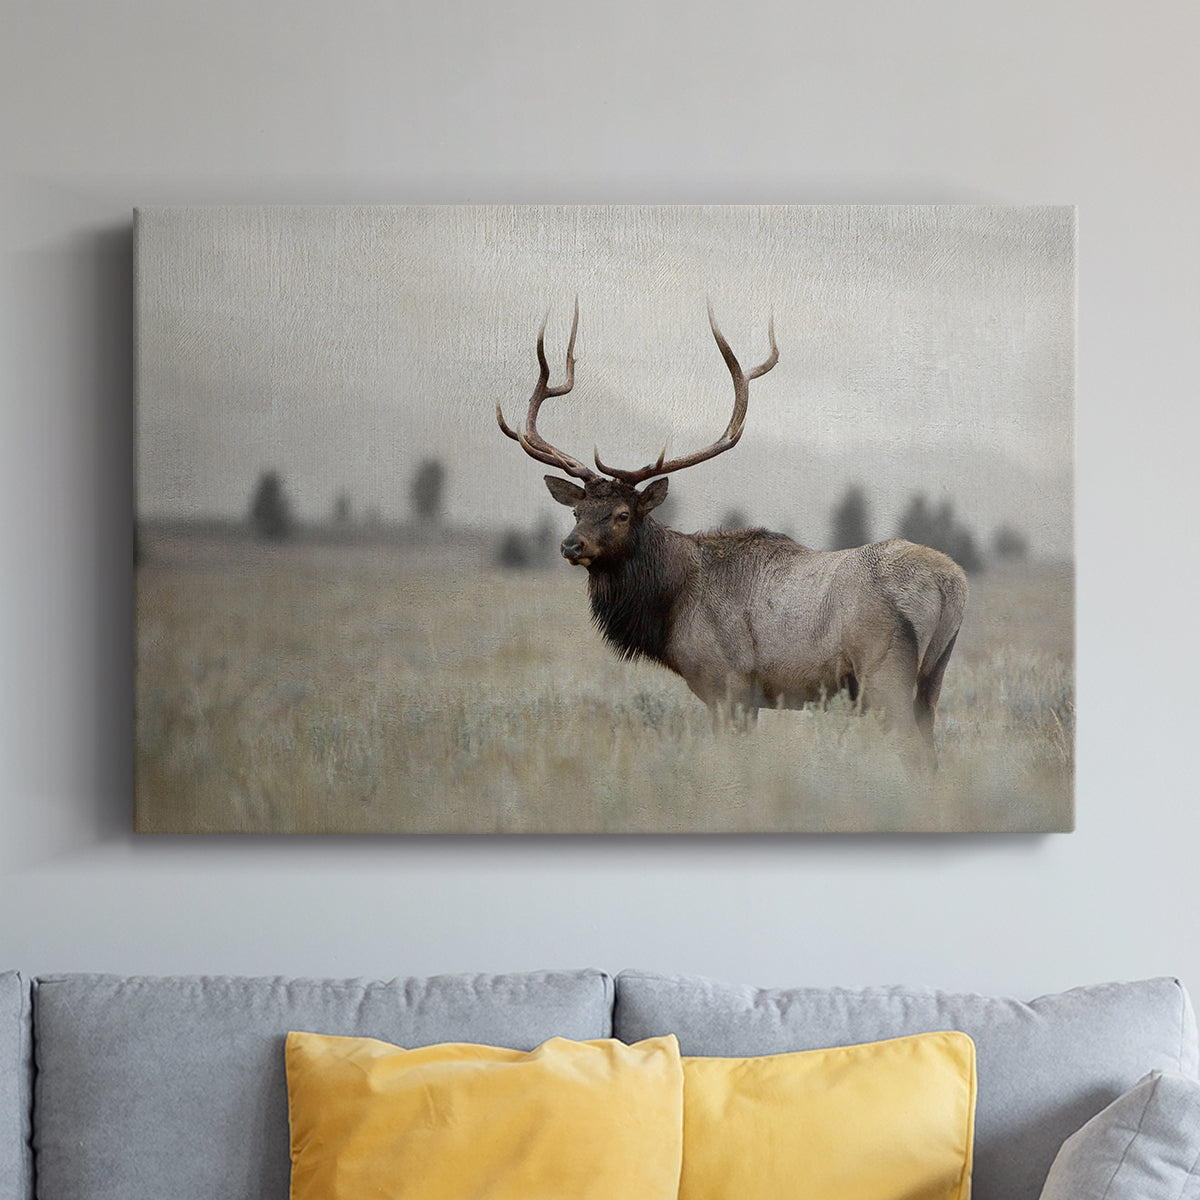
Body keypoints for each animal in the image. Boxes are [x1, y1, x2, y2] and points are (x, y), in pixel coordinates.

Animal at [496, 300, 968, 765]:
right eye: (577, 511)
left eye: (622, 514)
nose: (570, 545)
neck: (671, 604)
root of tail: (950, 584)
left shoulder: (727, 683)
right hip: (933, 675)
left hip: (884, 671)